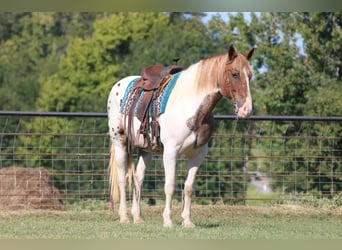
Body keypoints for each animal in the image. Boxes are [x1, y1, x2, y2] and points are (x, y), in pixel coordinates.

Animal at [107, 44, 254, 228]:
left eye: (250, 76)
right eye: (235, 74)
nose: (246, 109)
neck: (191, 106)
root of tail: (118, 85)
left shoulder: (198, 154)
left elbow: (188, 187)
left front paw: (187, 221)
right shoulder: (171, 152)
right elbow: (170, 186)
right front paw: (168, 220)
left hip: (146, 149)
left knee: (137, 179)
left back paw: (137, 217)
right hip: (119, 141)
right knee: (122, 179)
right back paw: (124, 217)